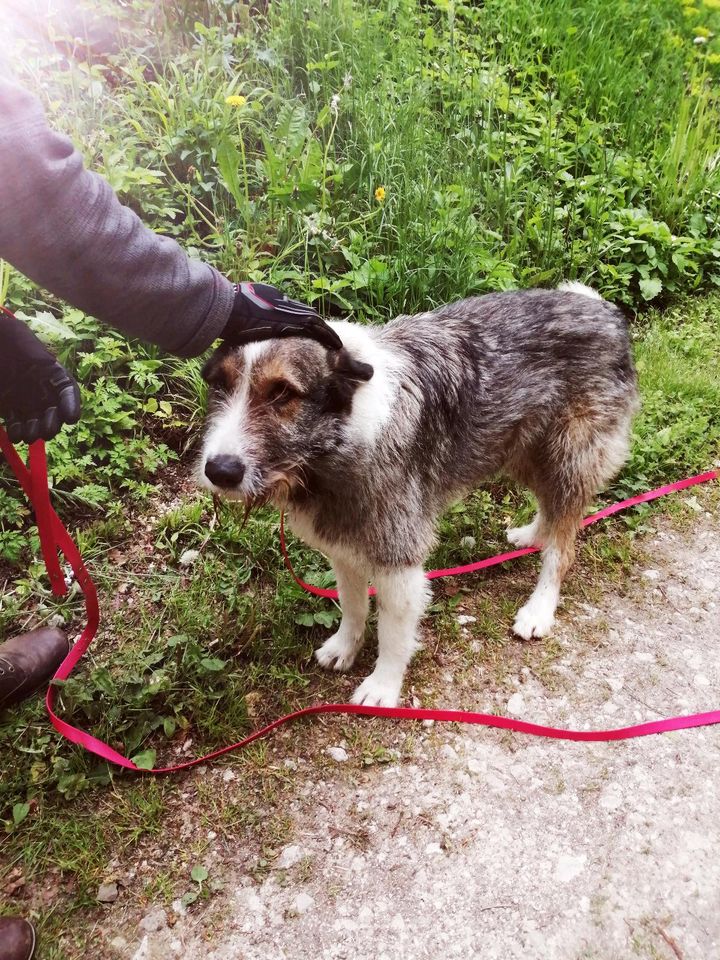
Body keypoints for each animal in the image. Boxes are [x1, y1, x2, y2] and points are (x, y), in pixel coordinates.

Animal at [195, 282, 636, 708]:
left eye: (282, 392)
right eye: (221, 384)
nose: (219, 470)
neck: (340, 437)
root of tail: (600, 307)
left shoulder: (397, 558)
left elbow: (392, 632)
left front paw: (384, 685)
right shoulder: (343, 543)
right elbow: (353, 604)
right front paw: (346, 646)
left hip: (569, 459)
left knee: (563, 546)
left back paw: (539, 607)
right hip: (523, 449)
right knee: (551, 514)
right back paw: (533, 535)